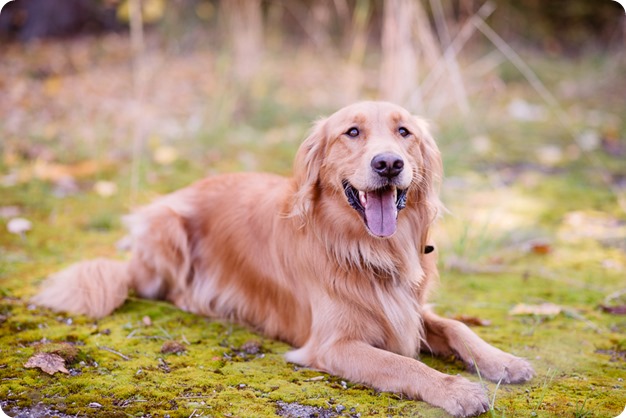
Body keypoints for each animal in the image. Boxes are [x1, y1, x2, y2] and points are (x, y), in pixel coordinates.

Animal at [33, 102, 532, 418]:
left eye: (403, 132)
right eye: (352, 132)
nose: (389, 163)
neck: (366, 249)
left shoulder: (407, 306)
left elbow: (457, 326)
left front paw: (503, 361)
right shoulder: (333, 344)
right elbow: (404, 365)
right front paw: (457, 390)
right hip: (166, 226)